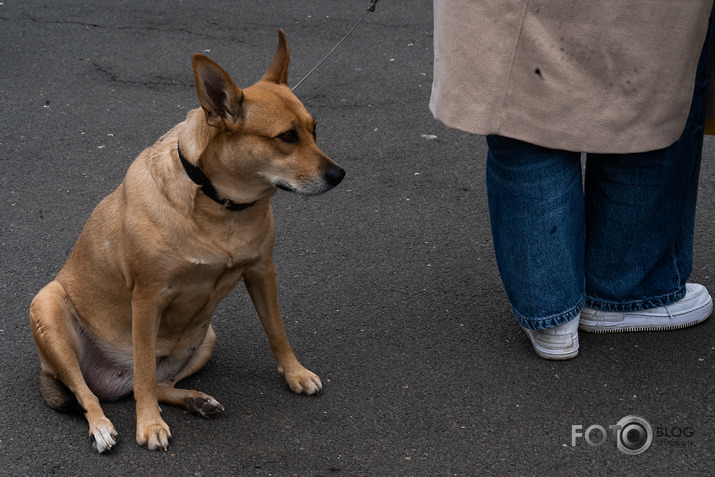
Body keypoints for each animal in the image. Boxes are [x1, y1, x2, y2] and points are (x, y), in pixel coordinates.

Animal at [30, 31, 346, 452]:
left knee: (155, 383)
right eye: (287, 137)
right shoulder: (147, 298)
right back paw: (101, 425)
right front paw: (148, 424)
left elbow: (277, 331)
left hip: (206, 337)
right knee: (94, 391)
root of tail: (112, 381)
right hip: (49, 308)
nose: (339, 175)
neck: (221, 208)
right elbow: (144, 371)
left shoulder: (262, 272)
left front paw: (294, 373)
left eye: (315, 130)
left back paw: (196, 400)